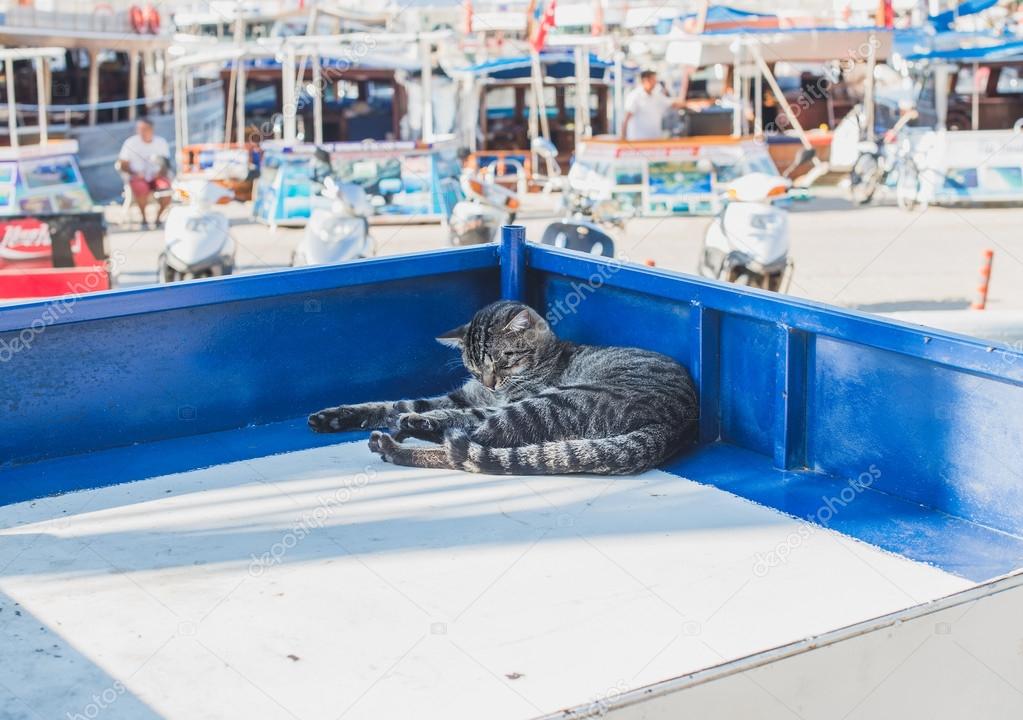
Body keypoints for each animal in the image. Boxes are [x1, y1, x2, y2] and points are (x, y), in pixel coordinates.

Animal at [306, 300, 699, 474]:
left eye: (503, 360)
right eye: (473, 366)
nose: (490, 381)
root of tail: (673, 426)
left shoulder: (493, 400)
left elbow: (448, 414)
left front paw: (418, 420)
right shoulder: (464, 393)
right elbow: (392, 404)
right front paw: (335, 416)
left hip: (553, 403)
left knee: (471, 445)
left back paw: (396, 442)